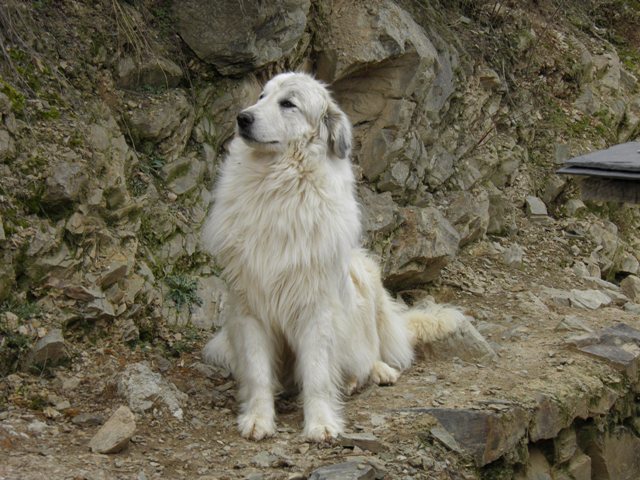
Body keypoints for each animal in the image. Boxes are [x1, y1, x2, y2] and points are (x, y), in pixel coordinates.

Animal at [202, 72, 462, 442]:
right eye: (262, 96)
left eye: (288, 103)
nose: (243, 118)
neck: (277, 186)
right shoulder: (250, 307)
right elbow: (258, 372)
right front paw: (258, 419)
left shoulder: (316, 308)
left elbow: (317, 374)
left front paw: (321, 422)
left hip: (365, 275)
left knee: (371, 349)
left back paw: (375, 372)